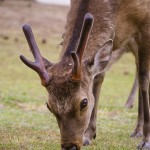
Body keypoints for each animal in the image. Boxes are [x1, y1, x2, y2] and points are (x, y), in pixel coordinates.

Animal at [19, 0, 150, 149]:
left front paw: (146, 140)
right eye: (49, 106)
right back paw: (137, 130)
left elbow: (144, 78)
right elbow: (98, 78)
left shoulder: (145, 25)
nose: (69, 146)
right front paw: (89, 135)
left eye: (84, 102)